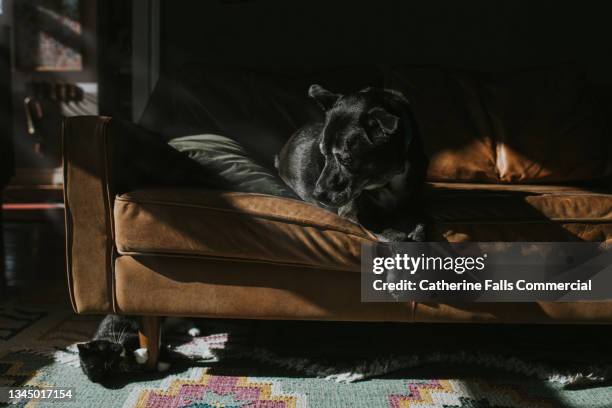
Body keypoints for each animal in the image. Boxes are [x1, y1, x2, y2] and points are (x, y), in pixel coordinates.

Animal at [276, 84, 426, 241]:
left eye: (346, 159)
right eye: (323, 153)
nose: (317, 195)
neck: (391, 176)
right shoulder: (355, 214)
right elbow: (395, 235)